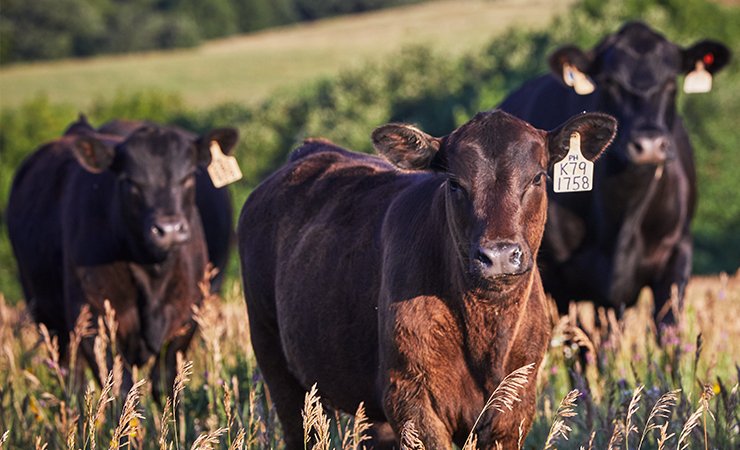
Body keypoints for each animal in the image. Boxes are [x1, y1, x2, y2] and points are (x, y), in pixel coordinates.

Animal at [6, 116, 238, 399]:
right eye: (131, 181)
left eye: (188, 177)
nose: (169, 229)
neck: (152, 272)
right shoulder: (93, 323)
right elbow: (120, 388)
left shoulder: (187, 317)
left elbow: (166, 384)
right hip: (48, 318)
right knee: (71, 379)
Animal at [237, 110, 616, 450]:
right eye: (454, 183)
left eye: (537, 178)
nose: (498, 255)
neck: (487, 330)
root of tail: (313, 150)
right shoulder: (411, 400)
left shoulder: (516, 404)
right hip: (275, 359)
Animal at [498, 22, 731, 325]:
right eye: (610, 81)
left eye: (671, 81)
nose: (649, 145)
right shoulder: (554, 279)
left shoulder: (677, 254)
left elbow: (669, 329)